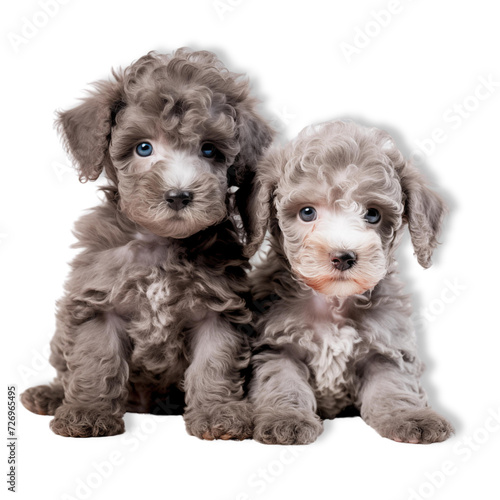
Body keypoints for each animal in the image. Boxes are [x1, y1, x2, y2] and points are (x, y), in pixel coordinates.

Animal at [20, 47, 274, 438]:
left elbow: (215, 362)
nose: (179, 195)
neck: (160, 243)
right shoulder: (98, 301)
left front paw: (218, 413)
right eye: (143, 148)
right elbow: (96, 359)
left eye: (209, 151)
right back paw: (49, 395)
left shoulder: (219, 309)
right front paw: (88, 413)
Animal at [248, 120, 456, 446]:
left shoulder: (386, 347)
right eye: (307, 212)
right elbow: (282, 383)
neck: (333, 302)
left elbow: (394, 387)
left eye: (372, 214)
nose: (343, 256)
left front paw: (410, 417)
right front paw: (286, 418)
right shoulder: (277, 344)